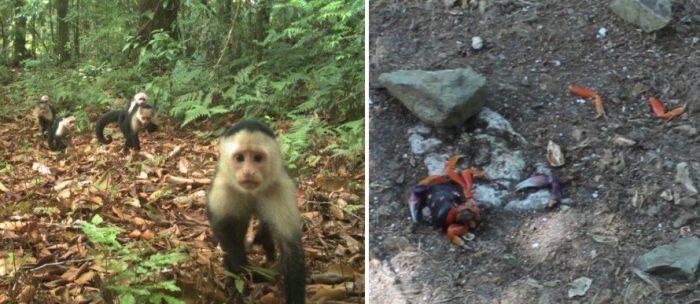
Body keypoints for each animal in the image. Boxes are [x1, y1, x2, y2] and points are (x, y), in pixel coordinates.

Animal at [208, 120, 306, 302]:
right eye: (240, 158)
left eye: (257, 158)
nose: (248, 172)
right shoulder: (223, 186)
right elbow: (220, 225)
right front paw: (240, 266)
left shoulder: (279, 189)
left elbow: (291, 247)